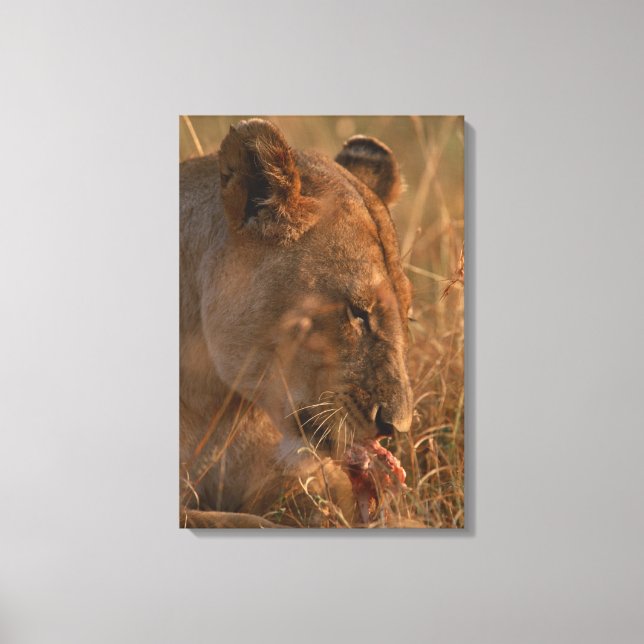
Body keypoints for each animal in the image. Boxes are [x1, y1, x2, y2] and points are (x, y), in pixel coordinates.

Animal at [180, 118, 415, 528]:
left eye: (407, 311)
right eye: (357, 312)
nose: (396, 427)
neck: (215, 402)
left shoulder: (288, 472)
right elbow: (245, 522)